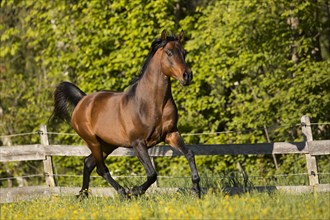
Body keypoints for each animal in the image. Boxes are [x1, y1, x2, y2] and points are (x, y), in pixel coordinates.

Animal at [51, 30, 201, 198]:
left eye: (184, 52)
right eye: (169, 53)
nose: (187, 76)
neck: (152, 103)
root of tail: (83, 100)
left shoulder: (171, 134)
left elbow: (189, 154)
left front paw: (196, 190)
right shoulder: (138, 143)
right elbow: (152, 174)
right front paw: (136, 191)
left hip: (107, 144)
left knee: (88, 163)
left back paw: (83, 195)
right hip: (93, 141)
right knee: (101, 169)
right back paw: (123, 193)